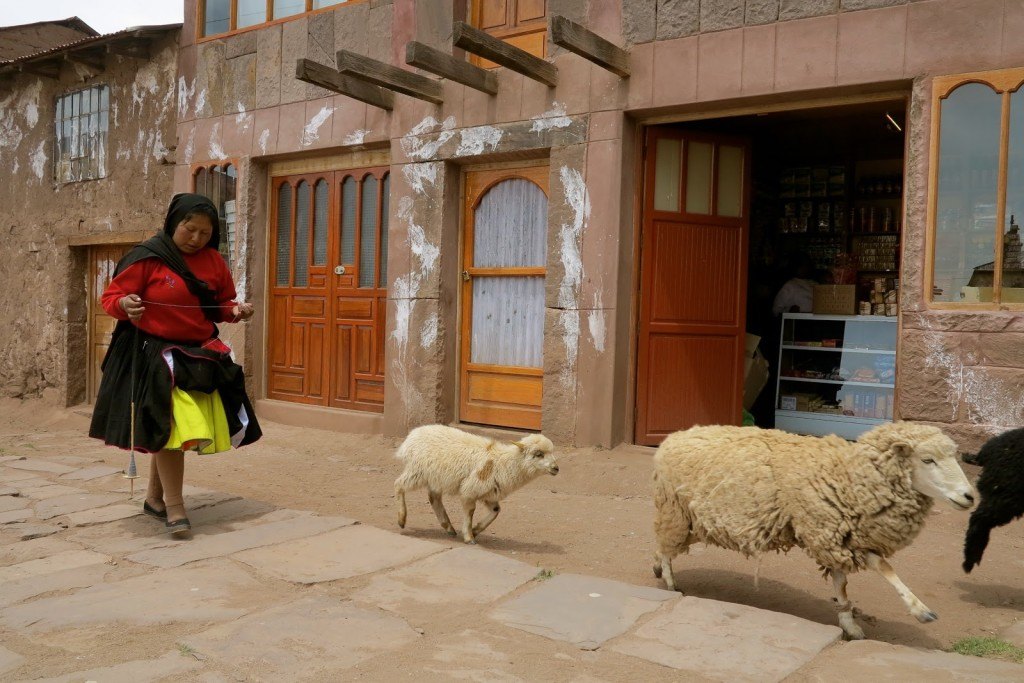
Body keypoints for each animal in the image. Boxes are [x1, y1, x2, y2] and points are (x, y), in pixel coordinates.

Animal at [393, 428, 561, 544]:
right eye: (538, 454)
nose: (556, 468)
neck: (503, 462)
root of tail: (412, 436)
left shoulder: (489, 492)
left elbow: (496, 511)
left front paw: (476, 530)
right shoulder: (470, 489)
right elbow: (470, 512)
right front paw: (469, 536)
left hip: (435, 477)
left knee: (434, 498)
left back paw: (448, 527)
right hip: (417, 471)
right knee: (398, 485)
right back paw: (401, 519)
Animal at [655, 421, 974, 643]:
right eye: (928, 459)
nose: (970, 496)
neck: (848, 476)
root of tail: (676, 435)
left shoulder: (839, 536)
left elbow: (842, 582)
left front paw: (850, 624)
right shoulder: (824, 530)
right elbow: (883, 566)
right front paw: (921, 611)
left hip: (691, 518)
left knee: (663, 543)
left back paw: (658, 567)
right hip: (674, 511)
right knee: (664, 543)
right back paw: (669, 580)